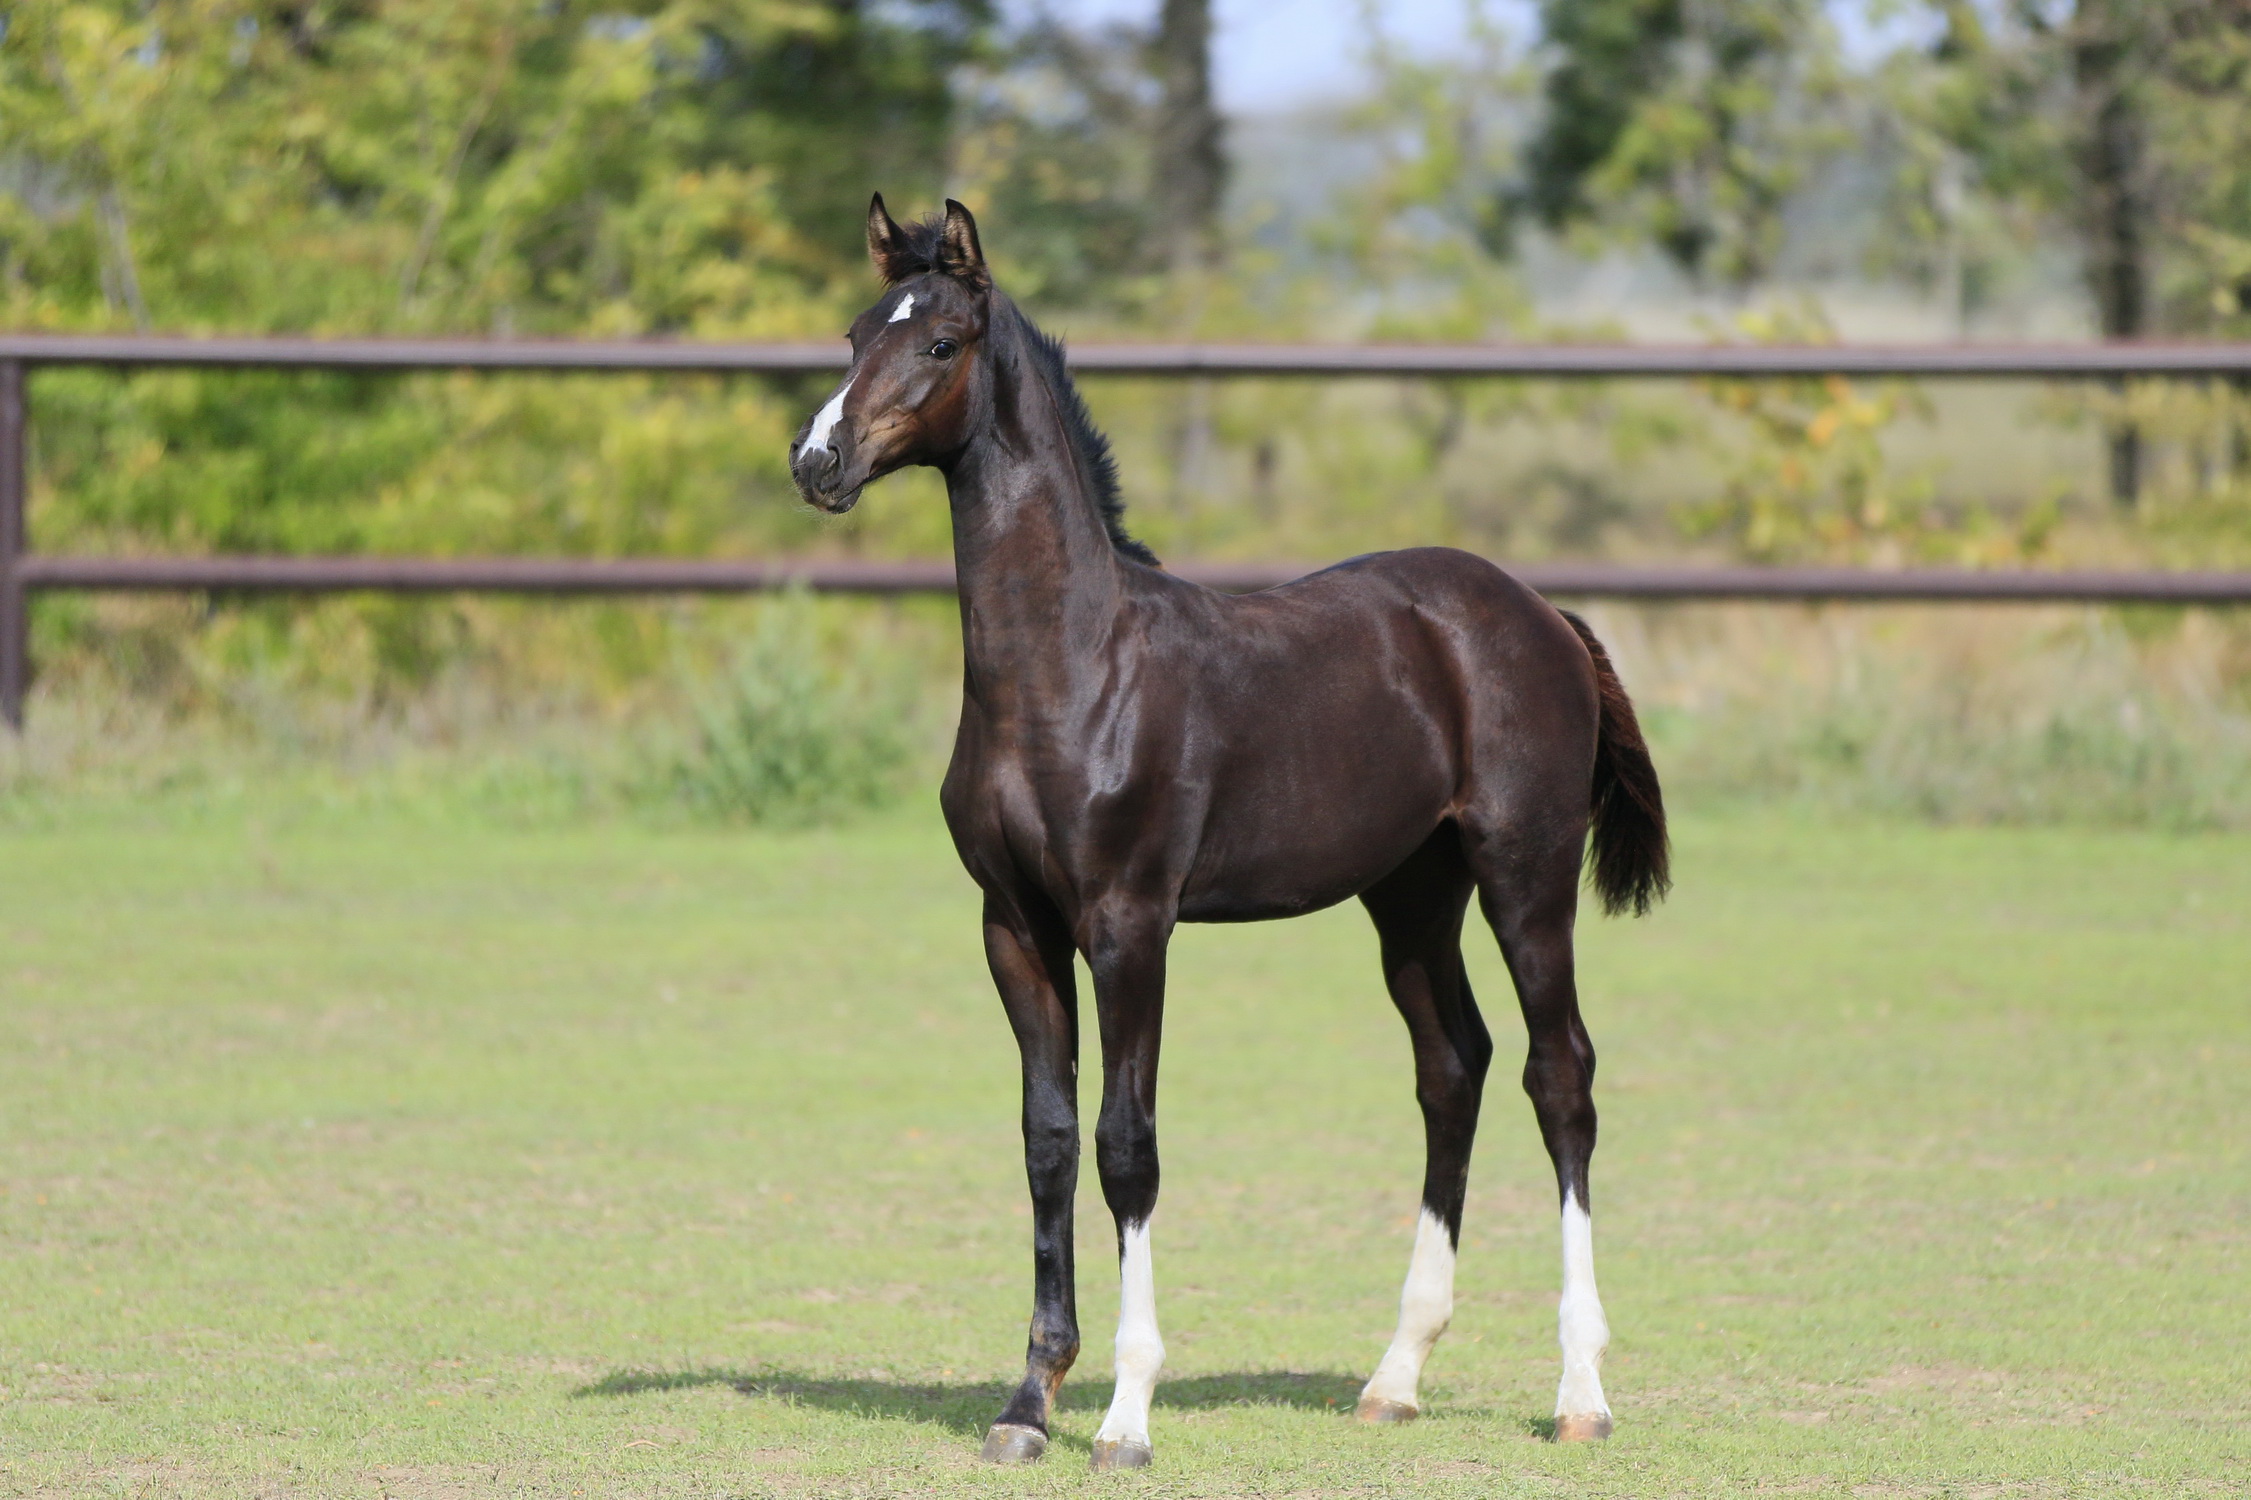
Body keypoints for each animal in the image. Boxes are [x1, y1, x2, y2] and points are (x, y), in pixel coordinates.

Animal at [792, 192, 1674, 1468]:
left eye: (941, 343)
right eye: (858, 333)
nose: (817, 463)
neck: (1072, 666)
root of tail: (1540, 613)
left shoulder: (1130, 924)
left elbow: (1127, 1142)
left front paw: (1124, 1415)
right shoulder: (1013, 925)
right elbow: (1047, 1136)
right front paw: (1027, 1403)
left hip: (1527, 874)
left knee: (1560, 1077)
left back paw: (1579, 1392)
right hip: (1412, 896)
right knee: (1451, 1067)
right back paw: (1395, 1375)